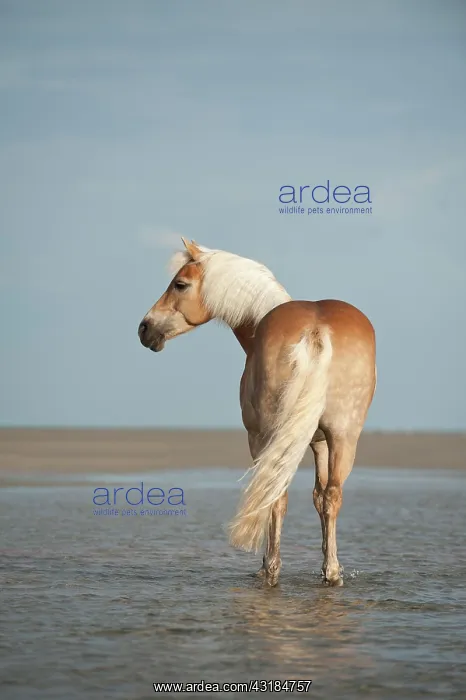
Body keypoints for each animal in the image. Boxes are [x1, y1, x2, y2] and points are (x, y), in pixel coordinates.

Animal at [138, 238, 376, 587]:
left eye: (179, 284)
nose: (145, 328)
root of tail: (317, 330)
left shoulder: (256, 437)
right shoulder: (319, 442)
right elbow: (320, 497)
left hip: (271, 437)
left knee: (274, 495)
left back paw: (271, 570)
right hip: (344, 436)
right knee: (332, 495)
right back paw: (332, 573)